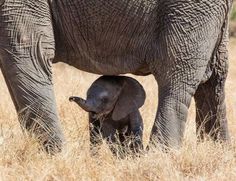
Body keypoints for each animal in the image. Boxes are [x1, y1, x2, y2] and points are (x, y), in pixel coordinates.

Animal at [0, 0, 232, 153]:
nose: (70, 98)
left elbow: (28, 50)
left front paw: (56, 157)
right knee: (214, 78)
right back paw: (217, 151)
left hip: (189, 11)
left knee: (176, 74)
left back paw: (160, 156)